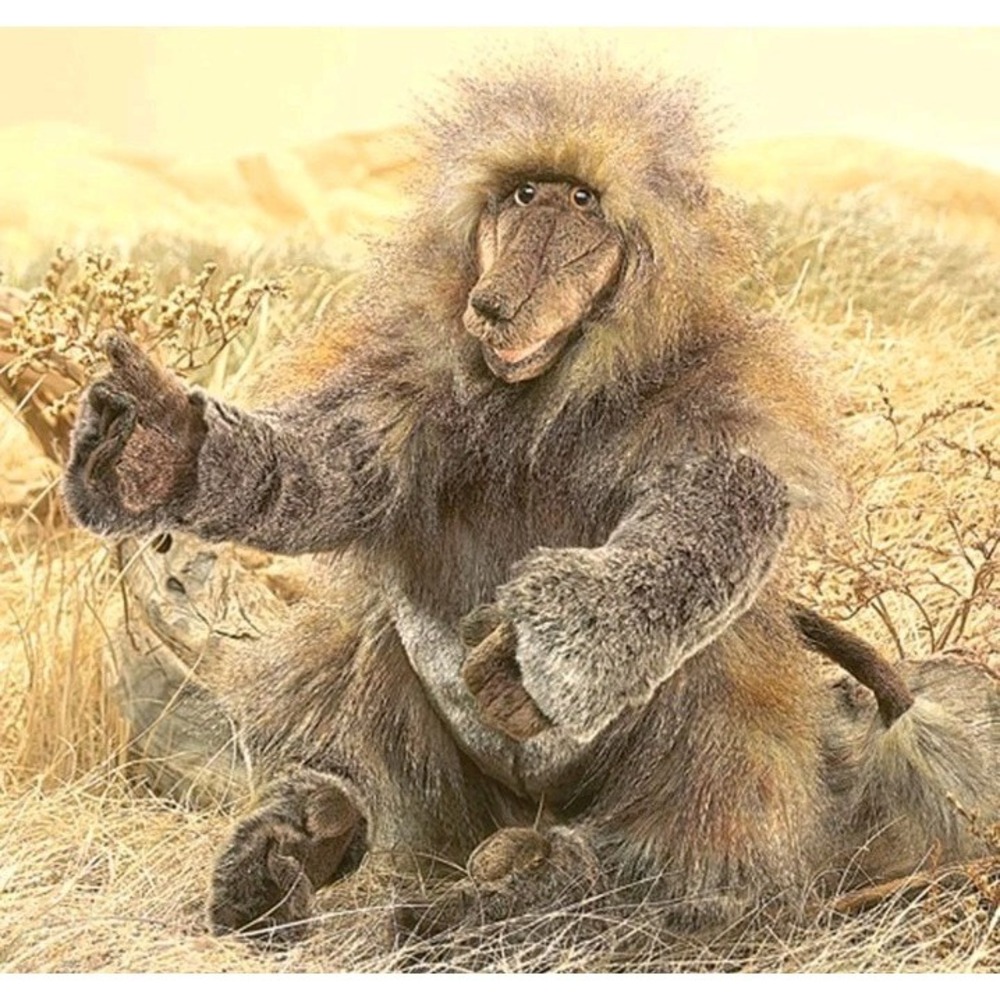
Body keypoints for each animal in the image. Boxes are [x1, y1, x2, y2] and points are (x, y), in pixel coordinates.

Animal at [62, 60, 998, 945]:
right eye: (521, 197)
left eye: (580, 202)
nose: (494, 303)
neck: (550, 394)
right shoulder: (406, 382)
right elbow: (323, 474)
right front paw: (156, 449)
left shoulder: (730, 406)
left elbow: (704, 529)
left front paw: (541, 646)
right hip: (458, 798)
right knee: (384, 659)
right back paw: (311, 832)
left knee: (699, 701)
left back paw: (551, 893)